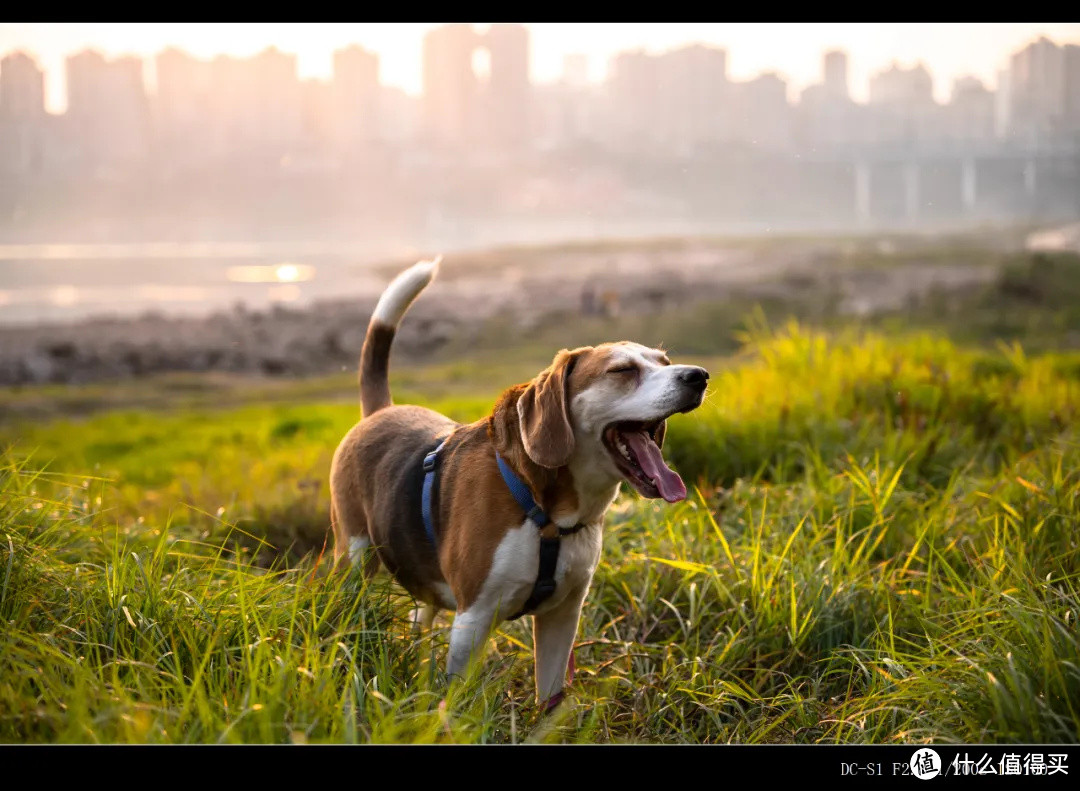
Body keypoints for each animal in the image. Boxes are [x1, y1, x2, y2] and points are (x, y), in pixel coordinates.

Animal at [328, 256, 708, 708]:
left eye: (664, 363)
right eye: (623, 370)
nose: (699, 376)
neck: (548, 514)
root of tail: (380, 412)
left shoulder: (563, 616)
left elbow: (550, 700)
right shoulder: (472, 620)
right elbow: (458, 701)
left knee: (419, 617)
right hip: (354, 559)